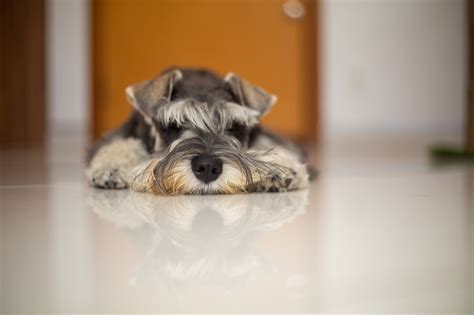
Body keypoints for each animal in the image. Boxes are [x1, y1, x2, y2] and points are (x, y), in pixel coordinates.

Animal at [87, 68, 312, 195]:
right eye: (173, 125)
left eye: (234, 126)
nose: (207, 167)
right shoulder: (128, 132)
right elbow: (122, 144)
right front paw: (111, 168)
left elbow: (270, 145)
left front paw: (279, 169)